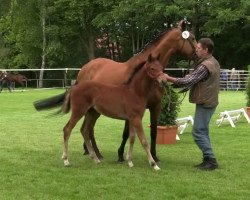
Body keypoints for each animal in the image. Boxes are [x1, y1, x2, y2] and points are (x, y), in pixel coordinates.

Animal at [34, 18, 197, 162]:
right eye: (193, 38)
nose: (198, 54)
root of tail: (84, 69)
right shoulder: (130, 110)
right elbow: (126, 133)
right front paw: (120, 155)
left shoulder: (155, 106)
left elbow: (154, 132)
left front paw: (154, 156)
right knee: (88, 129)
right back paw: (96, 153)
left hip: (93, 109)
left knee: (87, 128)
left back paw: (89, 151)